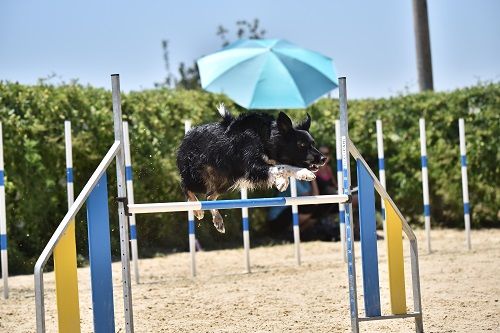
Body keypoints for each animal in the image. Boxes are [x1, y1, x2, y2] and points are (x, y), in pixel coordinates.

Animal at [177, 105, 328, 232]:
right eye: (301, 145)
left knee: (209, 197)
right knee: (185, 186)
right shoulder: (253, 167)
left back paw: (218, 220)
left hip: (227, 180)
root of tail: (186, 137)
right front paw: (303, 173)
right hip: (198, 177)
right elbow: (283, 166)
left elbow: (282, 167)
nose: (323, 159)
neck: (265, 138)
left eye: (313, 143)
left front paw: (282, 182)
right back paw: (197, 210)